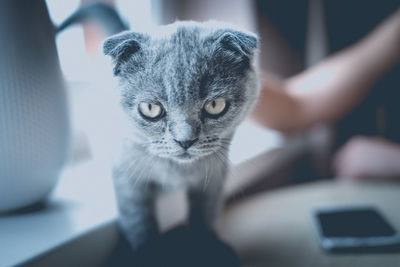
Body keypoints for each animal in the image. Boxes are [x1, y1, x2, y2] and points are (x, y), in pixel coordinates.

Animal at [103, 21, 260, 251]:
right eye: (150, 108)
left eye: (215, 105)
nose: (185, 140)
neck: (179, 171)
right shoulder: (127, 173)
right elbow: (137, 219)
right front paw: (145, 248)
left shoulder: (213, 172)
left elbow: (205, 211)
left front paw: (208, 242)